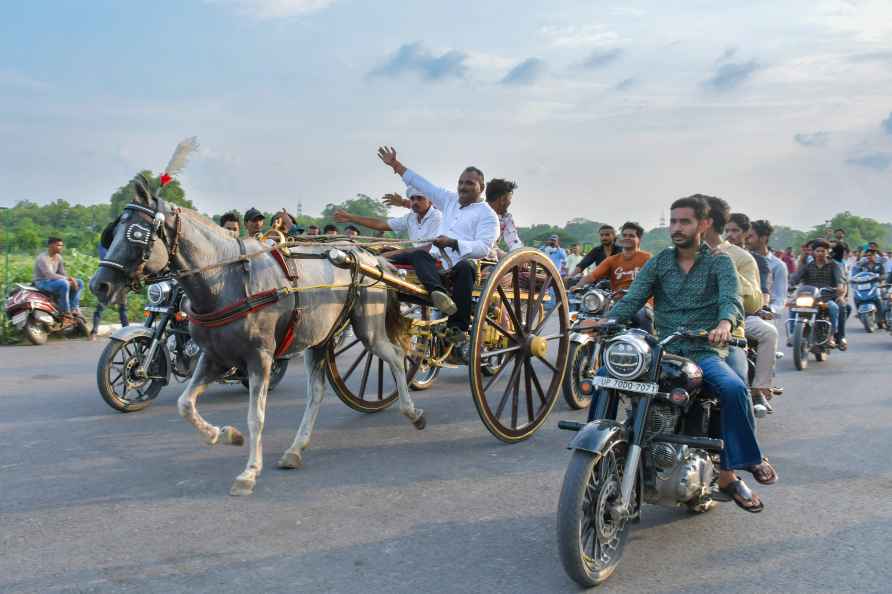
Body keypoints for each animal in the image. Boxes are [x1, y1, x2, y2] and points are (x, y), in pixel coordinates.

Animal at [90, 176, 426, 494]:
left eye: (137, 234)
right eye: (112, 232)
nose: (99, 285)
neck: (224, 280)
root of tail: (366, 254)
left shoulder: (260, 357)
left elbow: (256, 416)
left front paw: (249, 472)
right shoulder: (213, 357)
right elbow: (185, 404)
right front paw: (225, 435)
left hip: (368, 325)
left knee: (396, 355)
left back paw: (412, 412)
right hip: (320, 337)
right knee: (316, 392)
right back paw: (296, 448)